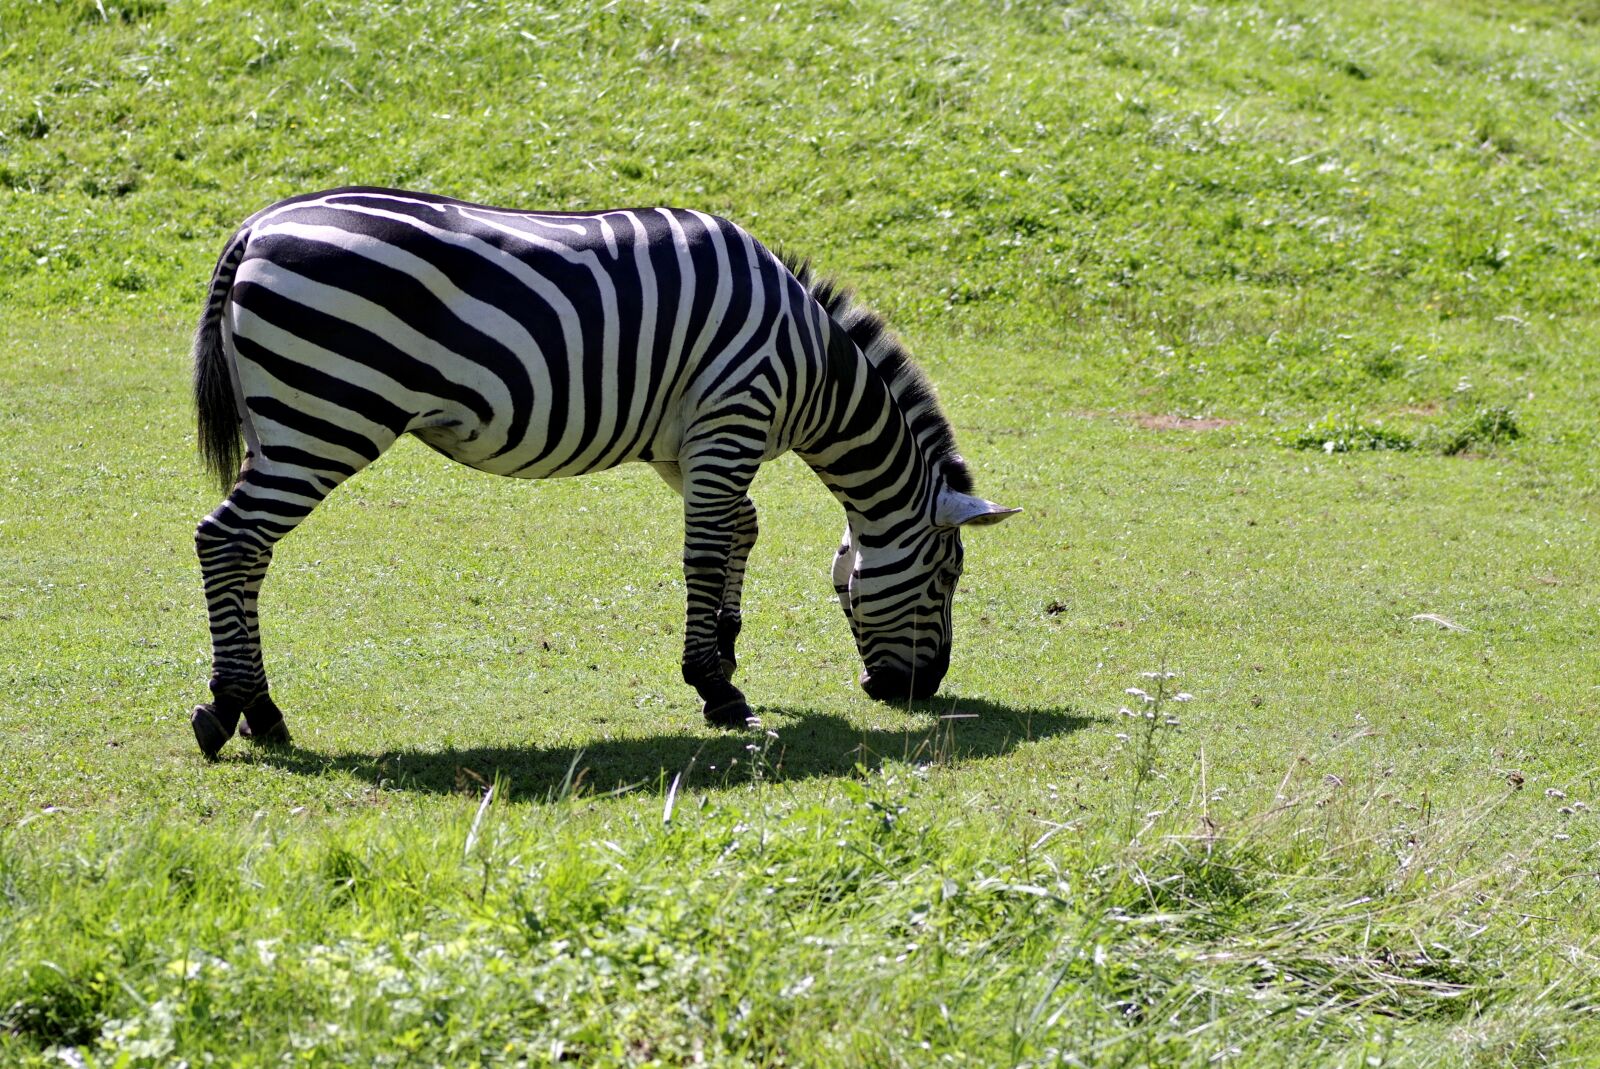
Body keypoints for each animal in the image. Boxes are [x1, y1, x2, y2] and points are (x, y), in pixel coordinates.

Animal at [189, 187, 1018, 759]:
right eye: (947, 578)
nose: (916, 690)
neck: (813, 368)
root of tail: (258, 225)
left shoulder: (689, 444)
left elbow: (741, 528)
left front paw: (726, 644)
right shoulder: (733, 413)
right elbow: (707, 549)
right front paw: (718, 688)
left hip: (282, 425)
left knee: (249, 551)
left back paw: (258, 709)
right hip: (326, 416)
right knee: (226, 540)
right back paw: (230, 707)